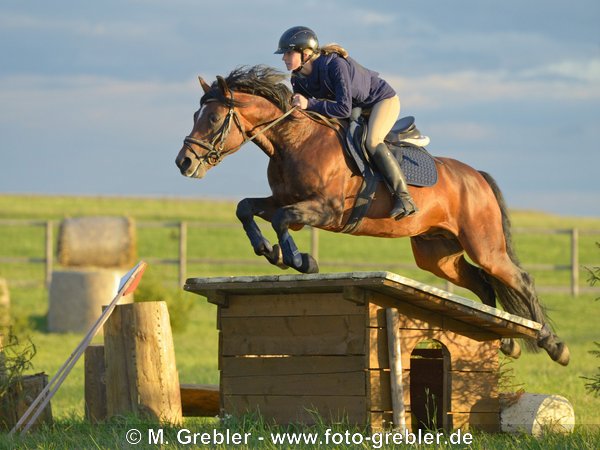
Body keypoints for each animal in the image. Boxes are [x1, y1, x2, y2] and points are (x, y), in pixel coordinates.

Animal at [176, 64, 568, 366]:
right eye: (194, 116)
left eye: (213, 117)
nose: (184, 162)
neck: (295, 140)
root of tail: (477, 176)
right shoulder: (288, 202)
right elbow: (248, 208)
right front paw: (270, 252)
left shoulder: (327, 210)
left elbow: (281, 219)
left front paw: (299, 261)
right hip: (437, 255)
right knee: (483, 283)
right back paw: (506, 341)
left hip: (484, 245)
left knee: (519, 280)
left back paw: (554, 346)